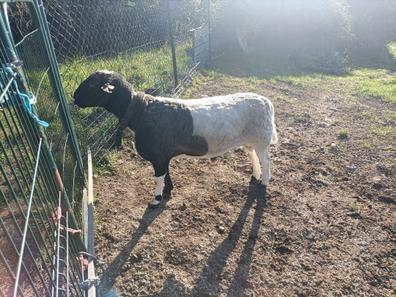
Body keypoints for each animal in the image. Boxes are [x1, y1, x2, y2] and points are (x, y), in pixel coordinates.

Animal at [74, 70, 278, 207]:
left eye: (91, 85)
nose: (74, 97)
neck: (139, 111)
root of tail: (267, 103)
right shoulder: (162, 156)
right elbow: (165, 174)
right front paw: (168, 191)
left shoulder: (158, 155)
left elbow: (158, 177)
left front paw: (156, 200)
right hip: (249, 139)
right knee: (253, 155)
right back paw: (255, 175)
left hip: (261, 138)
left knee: (266, 160)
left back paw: (264, 180)